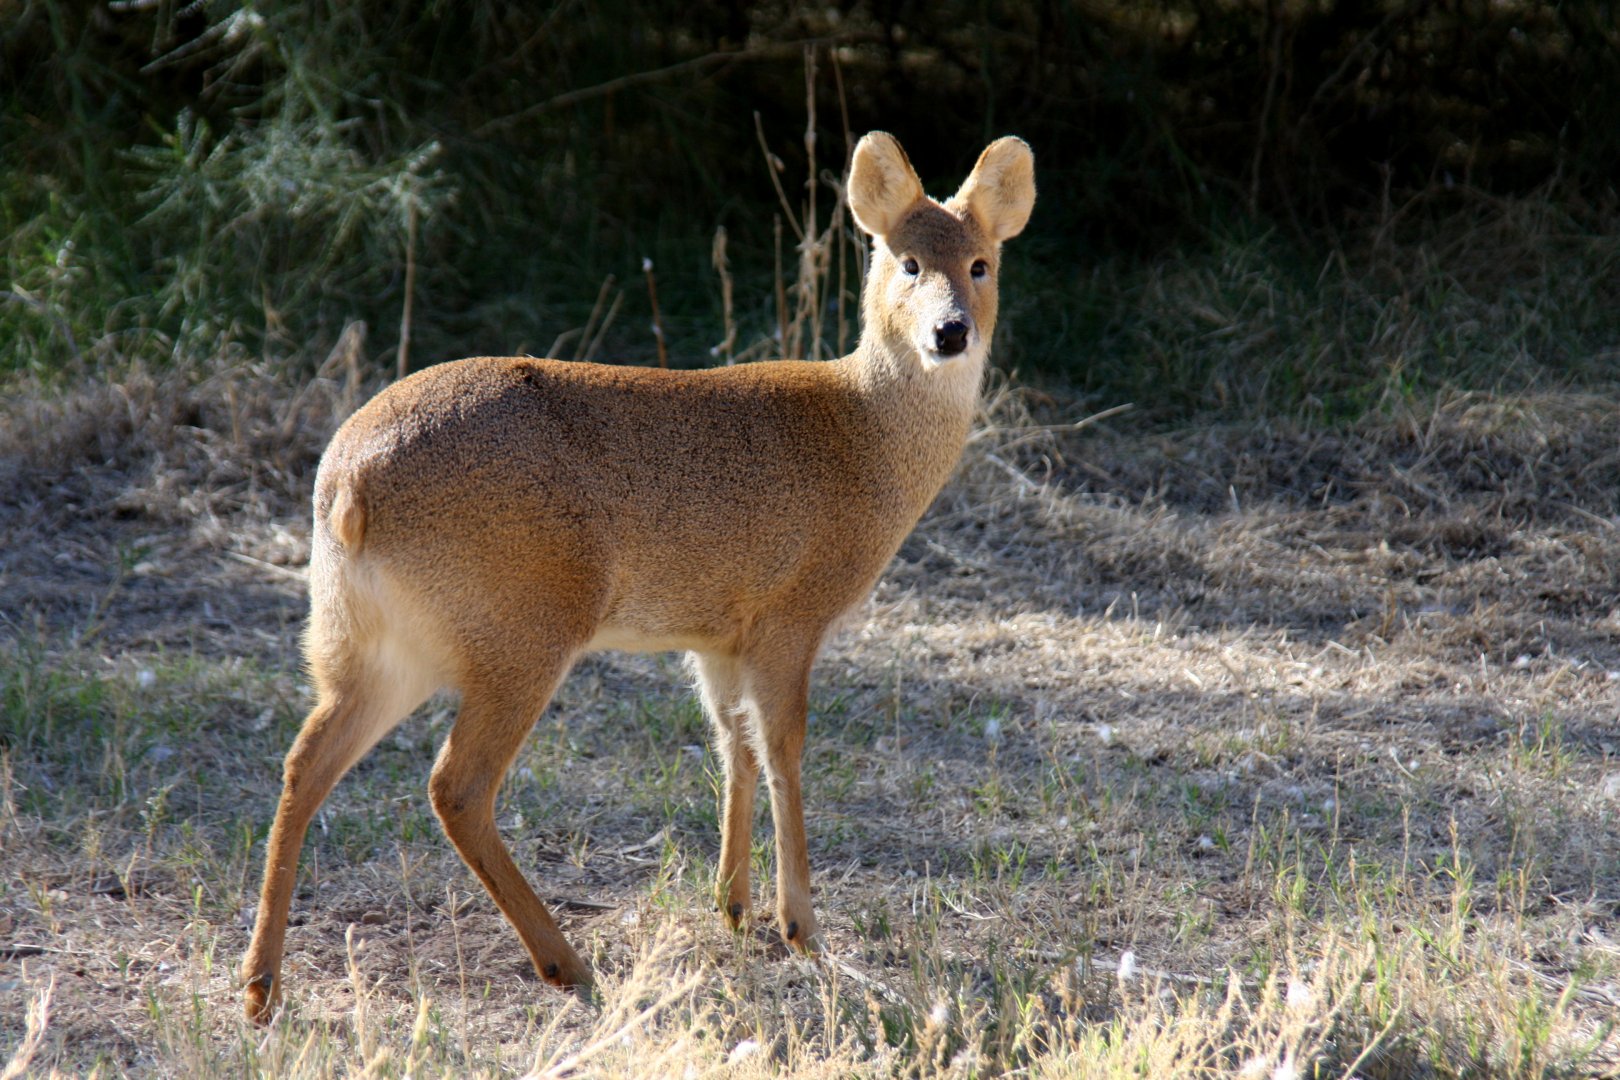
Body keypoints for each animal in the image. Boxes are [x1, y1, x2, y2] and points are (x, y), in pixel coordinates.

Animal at [242, 131, 1035, 1023]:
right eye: (907, 261)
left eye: (980, 263)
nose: (950, 332)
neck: (862, 437)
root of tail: (347, 487)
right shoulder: (791, 614)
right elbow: (786, 749)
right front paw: (801, 927)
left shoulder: (717, 633)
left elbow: (734, 745)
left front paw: (733, 908)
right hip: (523, 628)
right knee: (456, 785)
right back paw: (568, 964)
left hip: (371, 643)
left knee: (305, 761)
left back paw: (260, 985)